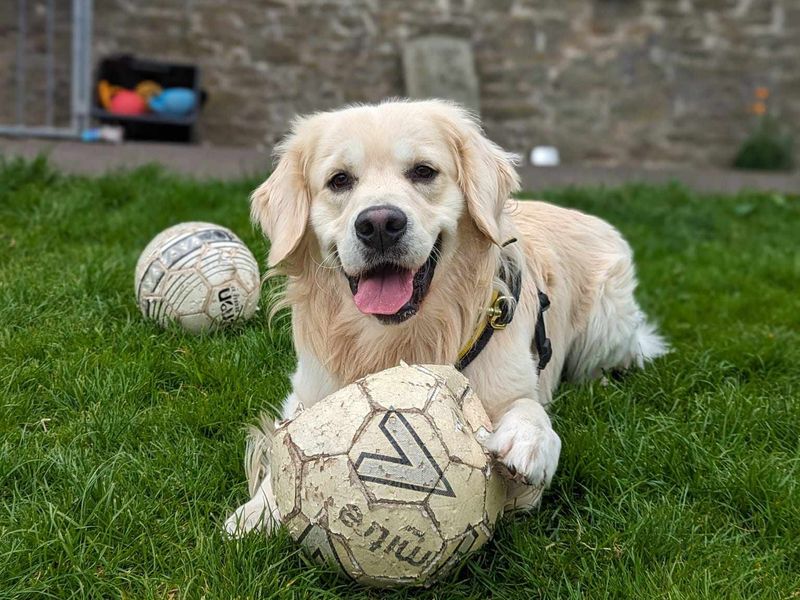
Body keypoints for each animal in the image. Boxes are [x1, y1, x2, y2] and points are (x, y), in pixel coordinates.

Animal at [222, 101, 664, 536]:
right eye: (339, 180)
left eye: (423, 171)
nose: (379, 224)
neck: (402, 341)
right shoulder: (309, 392)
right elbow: (288, 449)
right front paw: (258, 511)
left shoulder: (514, 380)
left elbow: (528, 407)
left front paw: (528, 440)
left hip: (606, 324)